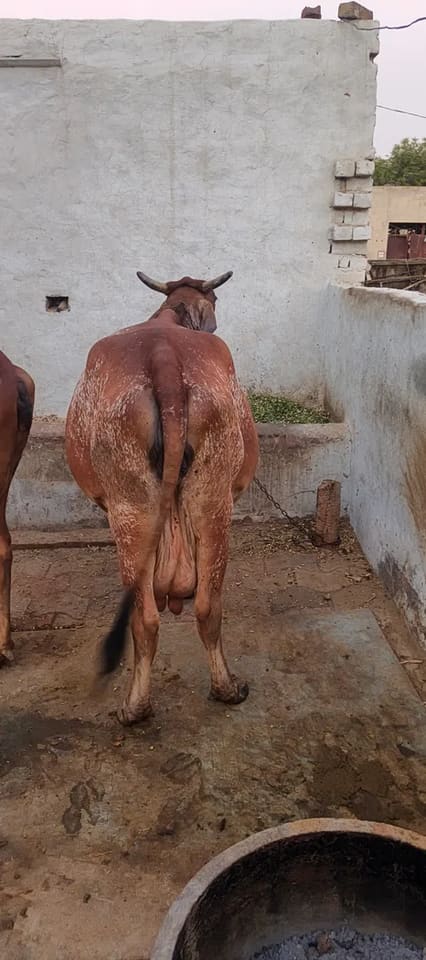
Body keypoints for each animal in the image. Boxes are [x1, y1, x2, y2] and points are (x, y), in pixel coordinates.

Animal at [65, 271, 258, 725]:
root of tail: (163, 355)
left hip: (131, 509)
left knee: (148, 618)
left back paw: (137, 707)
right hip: (212, 503)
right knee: (202, 607)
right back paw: (222, 688)